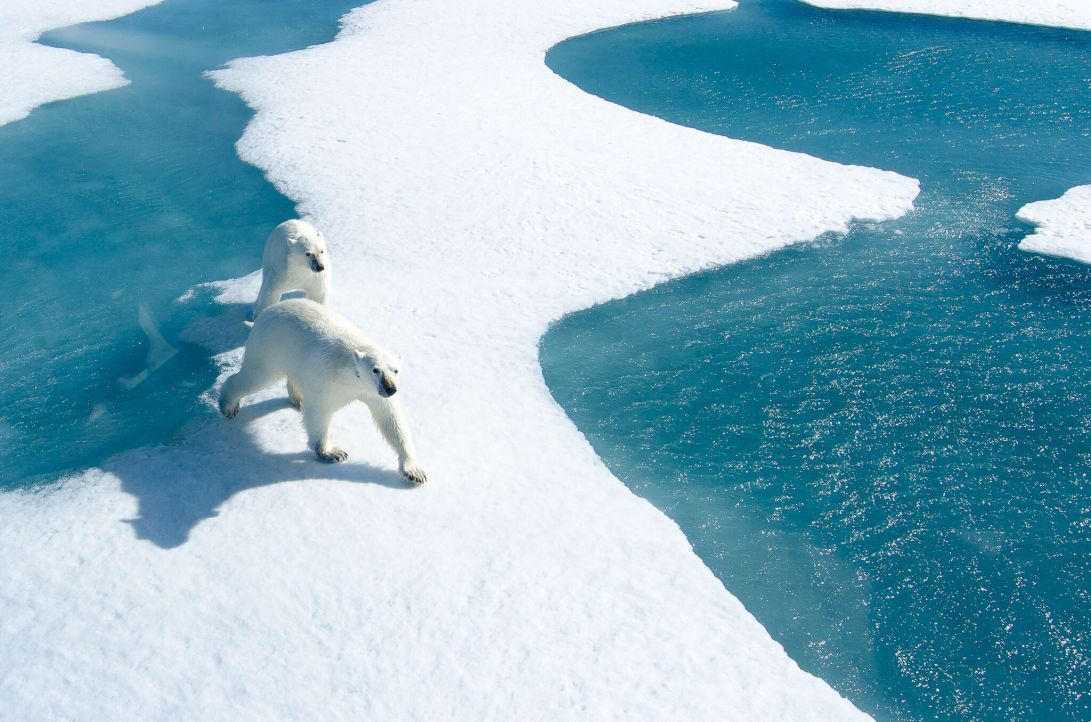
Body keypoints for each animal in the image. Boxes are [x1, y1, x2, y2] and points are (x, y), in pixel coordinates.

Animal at [219, 298, 427, 485]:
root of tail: (269, 309)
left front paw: (414, 471)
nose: (390, 388)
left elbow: (391, 419)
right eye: (376, 370)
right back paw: (228, 406)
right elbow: (318, 412)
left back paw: (297, 399)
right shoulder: (328, 381)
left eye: (395, 370)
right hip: (270, 346)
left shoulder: (373, 393)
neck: (349, 372)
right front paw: (332, 452)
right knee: (256, 376)